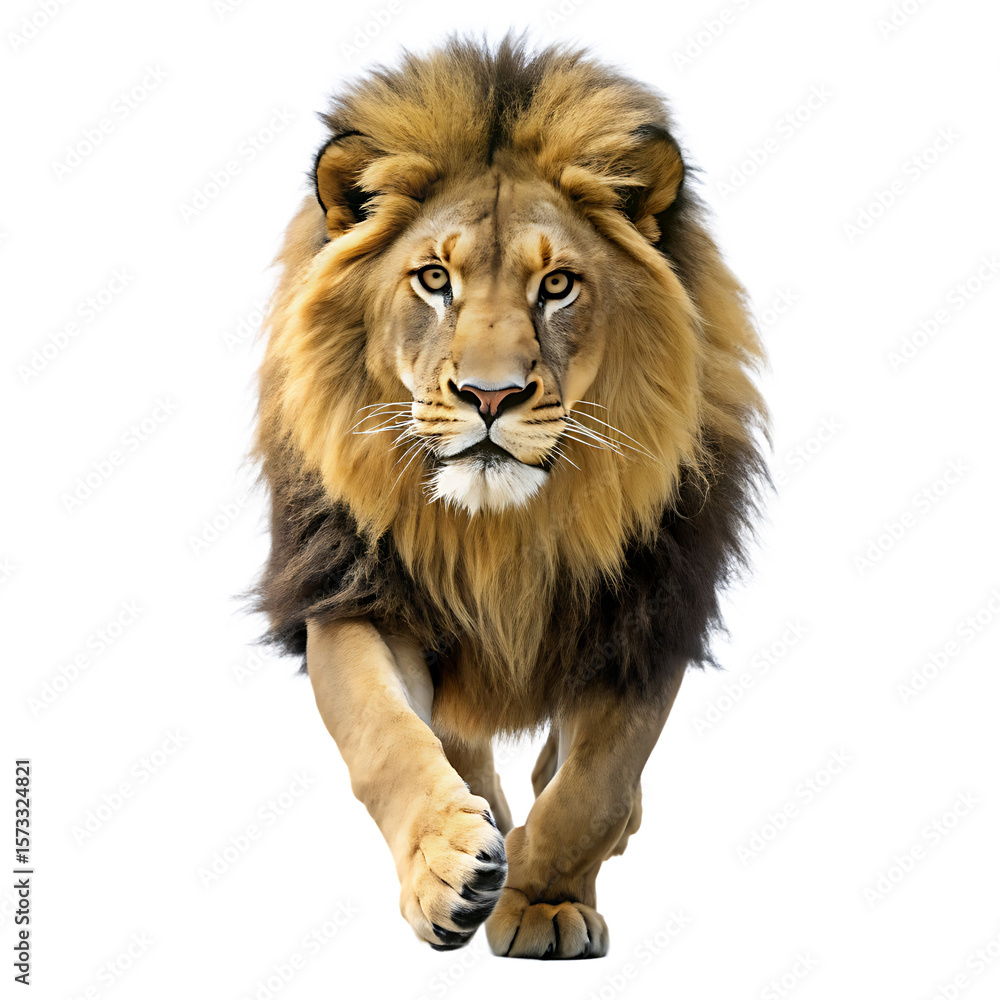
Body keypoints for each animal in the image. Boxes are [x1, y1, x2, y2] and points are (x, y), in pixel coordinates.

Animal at [251, 36, 768, 959]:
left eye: (557, 286)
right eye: (433, 278)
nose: (490, 397)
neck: (504, 532)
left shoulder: (648, 611)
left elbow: (596, 784)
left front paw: (543, 902)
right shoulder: (354, 593)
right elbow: (387, 737)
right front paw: (449, 870)